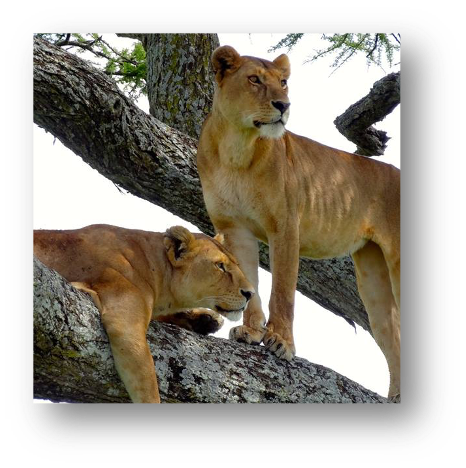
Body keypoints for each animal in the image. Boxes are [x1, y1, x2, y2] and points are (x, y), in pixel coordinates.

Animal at [196, 45, 401, 401]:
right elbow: (249, 282)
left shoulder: (285, 228)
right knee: (394, 333)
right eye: (254, 79)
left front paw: (281, 343)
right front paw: (251, 331)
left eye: (283, 83)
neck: (237, 146)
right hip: (373, 279)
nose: (284, 105)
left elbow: (282, 292)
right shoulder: (235, 229)